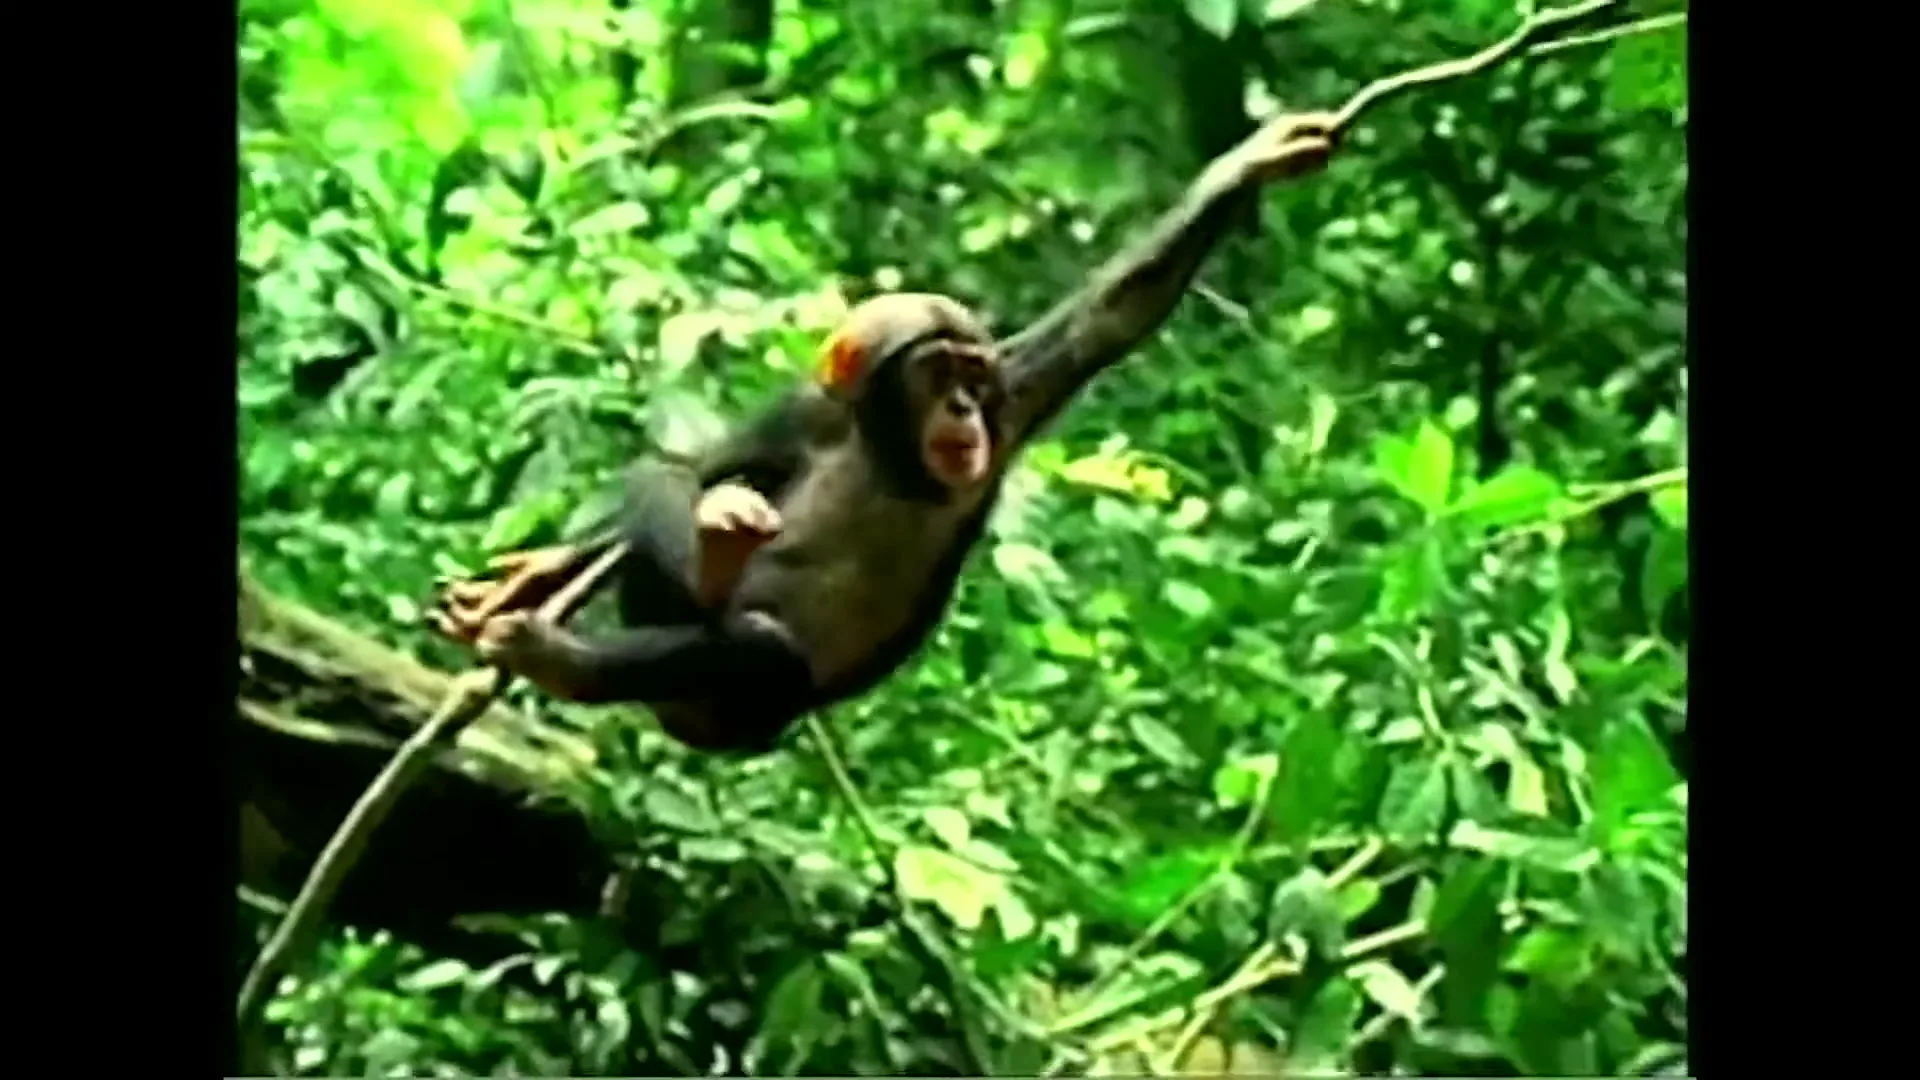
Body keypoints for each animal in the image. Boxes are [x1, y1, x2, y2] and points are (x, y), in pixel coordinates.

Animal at [433, 111, 1342, 754]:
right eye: (937, 376)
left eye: (973, 378)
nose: (964, 410)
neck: (890, 455)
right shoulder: (801, 413)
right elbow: (703, 464)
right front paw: (538, 571)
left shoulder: (1019, 395)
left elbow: (1116, 313)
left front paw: (1252, 160)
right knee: (664, 489)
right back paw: (701, 556)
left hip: (726, 714)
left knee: (758, 653)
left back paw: (564, 660)